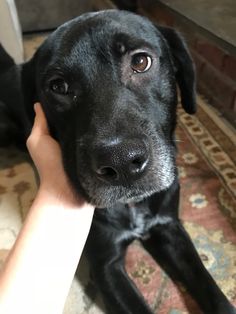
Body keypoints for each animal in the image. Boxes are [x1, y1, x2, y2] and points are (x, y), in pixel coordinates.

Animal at [0, 9, 235, 314]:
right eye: (58, 86)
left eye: (141, 61)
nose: (121, 163)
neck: (133, 205)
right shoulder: (106, 266)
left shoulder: (169, 227)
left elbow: (209, 286)